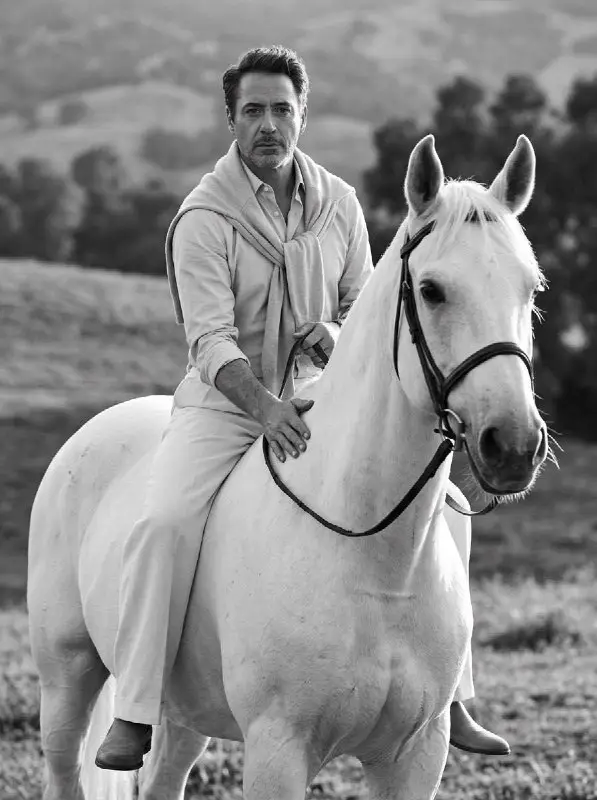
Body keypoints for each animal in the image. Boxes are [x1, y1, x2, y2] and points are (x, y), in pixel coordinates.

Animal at [28, 133, 548, 800]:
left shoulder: (416, 754)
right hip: (66, 680)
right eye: (432, 290)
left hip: (184, 712)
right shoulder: (279, 748)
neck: (374, 559)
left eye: (530, 288)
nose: (513, 445)